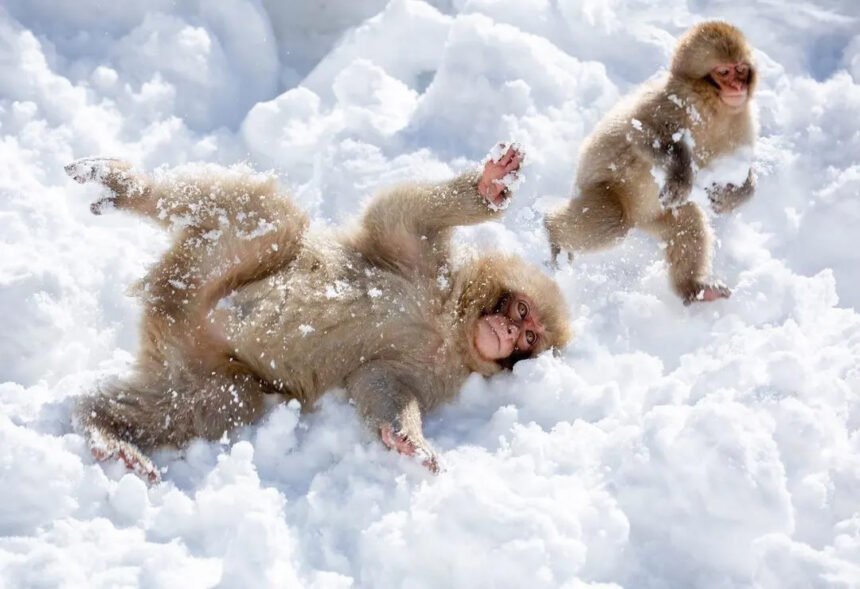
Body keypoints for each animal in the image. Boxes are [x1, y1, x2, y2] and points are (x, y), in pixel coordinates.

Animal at [64, 143, 571, 481]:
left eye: (530, 339)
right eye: (520, 310)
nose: (508, 331)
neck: (446, 321)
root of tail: (168, 301)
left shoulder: (439, 374)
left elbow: (380, 381)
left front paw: (406, 438)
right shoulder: (417, 254)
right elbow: (403, 210)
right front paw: (490, 185)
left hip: (196, 364)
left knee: (218, 402)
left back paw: (105, 431)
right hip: (212, 265)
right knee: (267, 216)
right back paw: (130, 188)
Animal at [545, 21, 757, 305]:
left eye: (741, 70)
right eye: (724, 72)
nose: (738, 87)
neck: (713, 108)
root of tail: (638, 220)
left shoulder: (743, 123)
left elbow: (742, 168)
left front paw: (734, 195)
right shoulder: (670, 102)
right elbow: (642, 131)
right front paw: (681, 176)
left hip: (656, 216)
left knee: (686, 222)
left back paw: (695, 288)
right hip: (600, 193)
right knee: (613, 222)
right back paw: (553, 232)